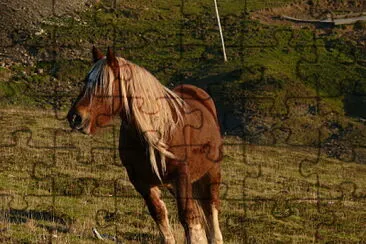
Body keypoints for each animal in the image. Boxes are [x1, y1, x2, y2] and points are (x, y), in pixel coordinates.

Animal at [67, 47, 224, 244]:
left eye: (102, 84)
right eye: (85, 81)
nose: (75, 117)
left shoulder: (181, 175)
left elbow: (188, 217)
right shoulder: (140, 180)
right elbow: (159, 213)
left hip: (211, 172)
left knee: (211, 210)